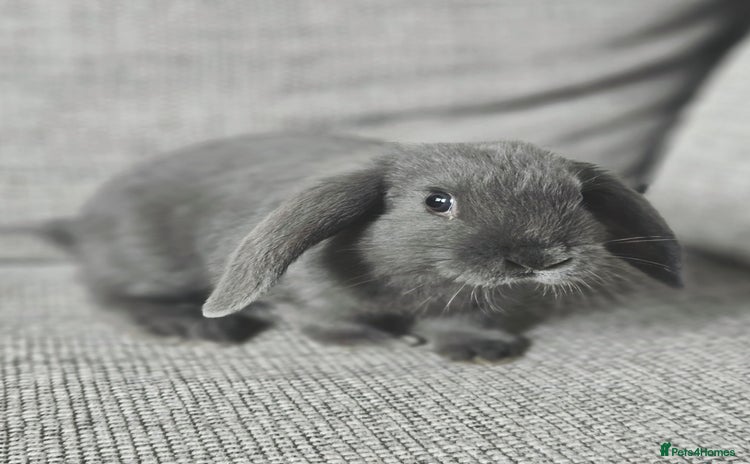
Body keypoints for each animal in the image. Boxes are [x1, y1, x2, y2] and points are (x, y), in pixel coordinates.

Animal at [41, 133, 682, 361]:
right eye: (437, 202)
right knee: (115, 295)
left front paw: (479, 349)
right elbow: (322, 317)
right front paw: (370, 339)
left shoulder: (464, 301)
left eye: (576, 197)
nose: (540, 259)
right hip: (146, 262)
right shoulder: (307, 294)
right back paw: (194, 325)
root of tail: (80, 223)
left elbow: (463, 321)